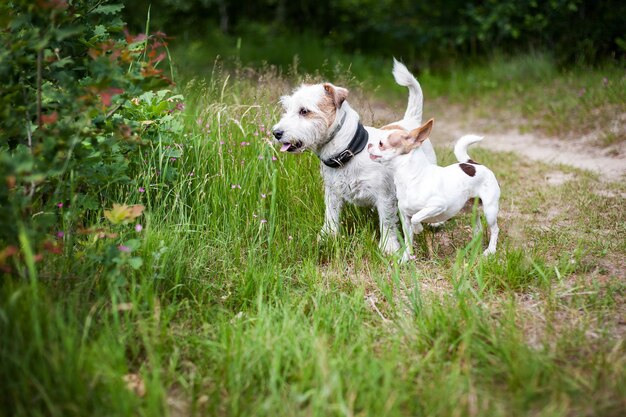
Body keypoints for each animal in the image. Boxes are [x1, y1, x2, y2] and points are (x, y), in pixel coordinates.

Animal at [270, 58, 436, 254]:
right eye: (287, 109)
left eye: (304, 111)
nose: (276, 133)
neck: (351, 150)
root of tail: (410, 123)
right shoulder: (332, 193)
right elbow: (331, 216)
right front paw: (327, 236)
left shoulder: (385, 196)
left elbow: (387, 222)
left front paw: (388, 247)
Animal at [368, 117, 500, 260]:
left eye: (381, 143)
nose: (368, 145)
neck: (413, 178)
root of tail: (473, 163)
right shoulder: (405, 219)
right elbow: (408, 241)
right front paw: (405, 259)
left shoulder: (437, 206)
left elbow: (416, 217)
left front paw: (419, 229)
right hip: (471, 210)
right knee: (478, 229)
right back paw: (474, 248)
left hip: (490, 210)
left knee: (495, 229)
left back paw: (490, 250)